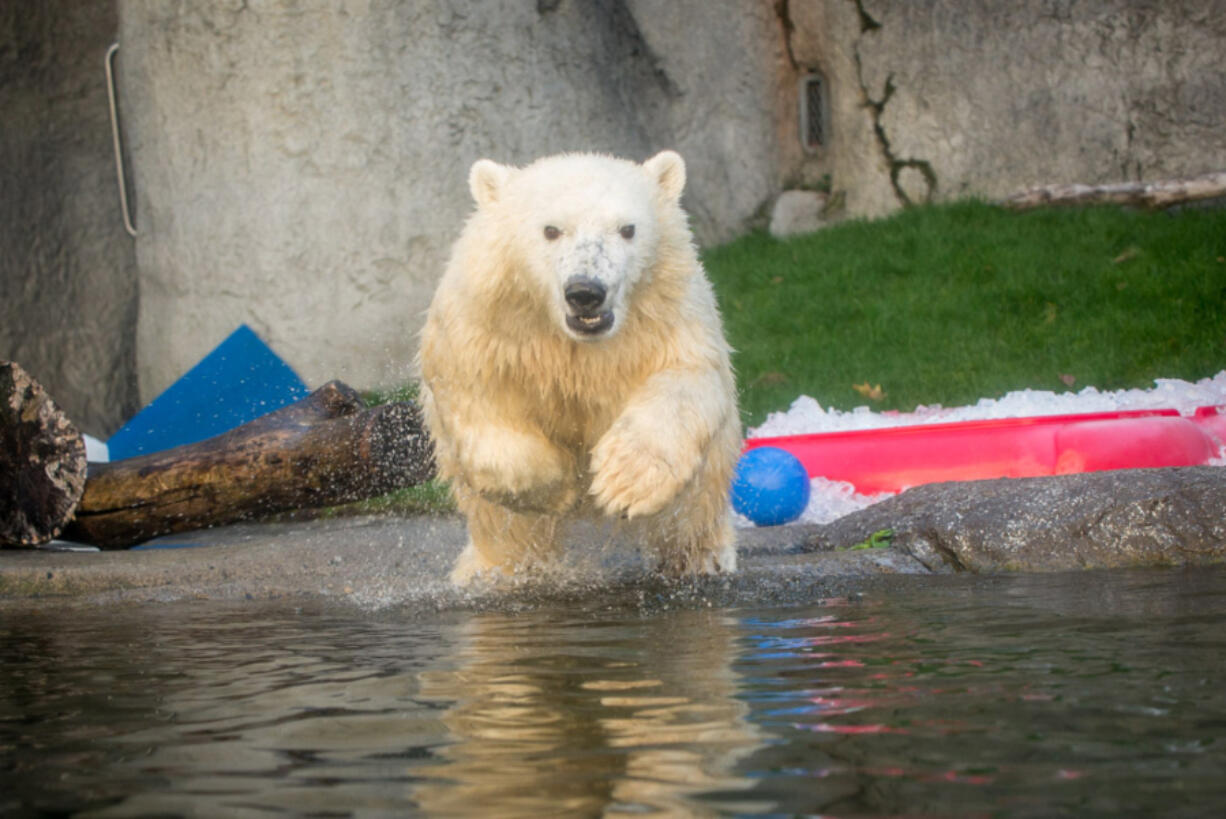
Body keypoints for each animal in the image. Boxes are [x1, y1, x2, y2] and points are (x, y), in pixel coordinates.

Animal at [416, 147, 740, 581]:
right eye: (551, 230)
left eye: (627, 229)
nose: (586, 292)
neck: (573, 340)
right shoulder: (488, 324)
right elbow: (478, 398)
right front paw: (559, 489)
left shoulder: (665, 314)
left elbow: (684, 377)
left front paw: (623, 481)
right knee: (505, 528)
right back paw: (495, 571)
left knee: (695, 502)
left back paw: (700, 555)